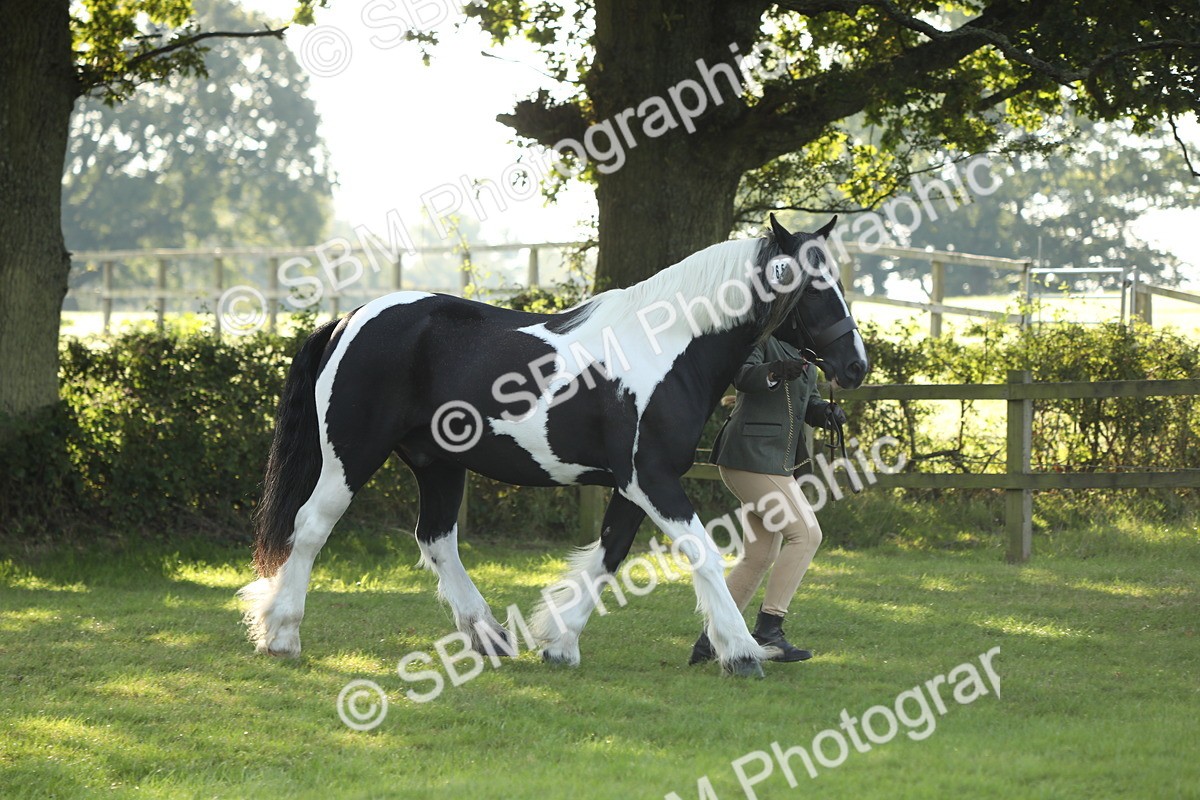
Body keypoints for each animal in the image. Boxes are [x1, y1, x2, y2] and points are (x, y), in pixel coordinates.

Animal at [239, 214, 868, 678]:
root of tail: (350, 318)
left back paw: (490, 638)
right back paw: (283, 635)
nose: (856, 367)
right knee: (311, 526)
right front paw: (740, 653)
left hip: (438, 462)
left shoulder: (633, 485)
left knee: (437, 541)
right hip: (352, 455)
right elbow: (702, 553)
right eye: (814, 287)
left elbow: (609, 555)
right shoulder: (653, 478)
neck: (665, 346)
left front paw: (560, 643)